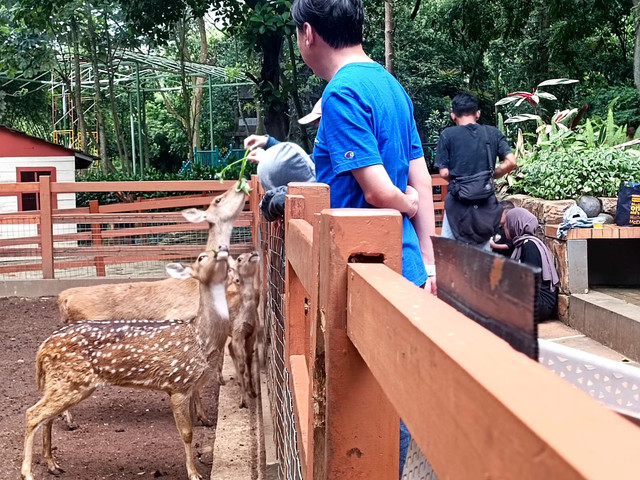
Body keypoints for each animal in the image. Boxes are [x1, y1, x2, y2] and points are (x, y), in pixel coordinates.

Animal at [22, 248, 232, 480]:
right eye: (201, 257)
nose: (223, 250)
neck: (202, 338)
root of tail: (43, 347)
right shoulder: (178, 384)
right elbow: (187, 433)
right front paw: (194, 474)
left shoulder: (191, 385)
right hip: (69, 382)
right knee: (33, 414)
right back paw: (27, 472)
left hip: (63, 383)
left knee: (46, 417)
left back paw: (52, 464)